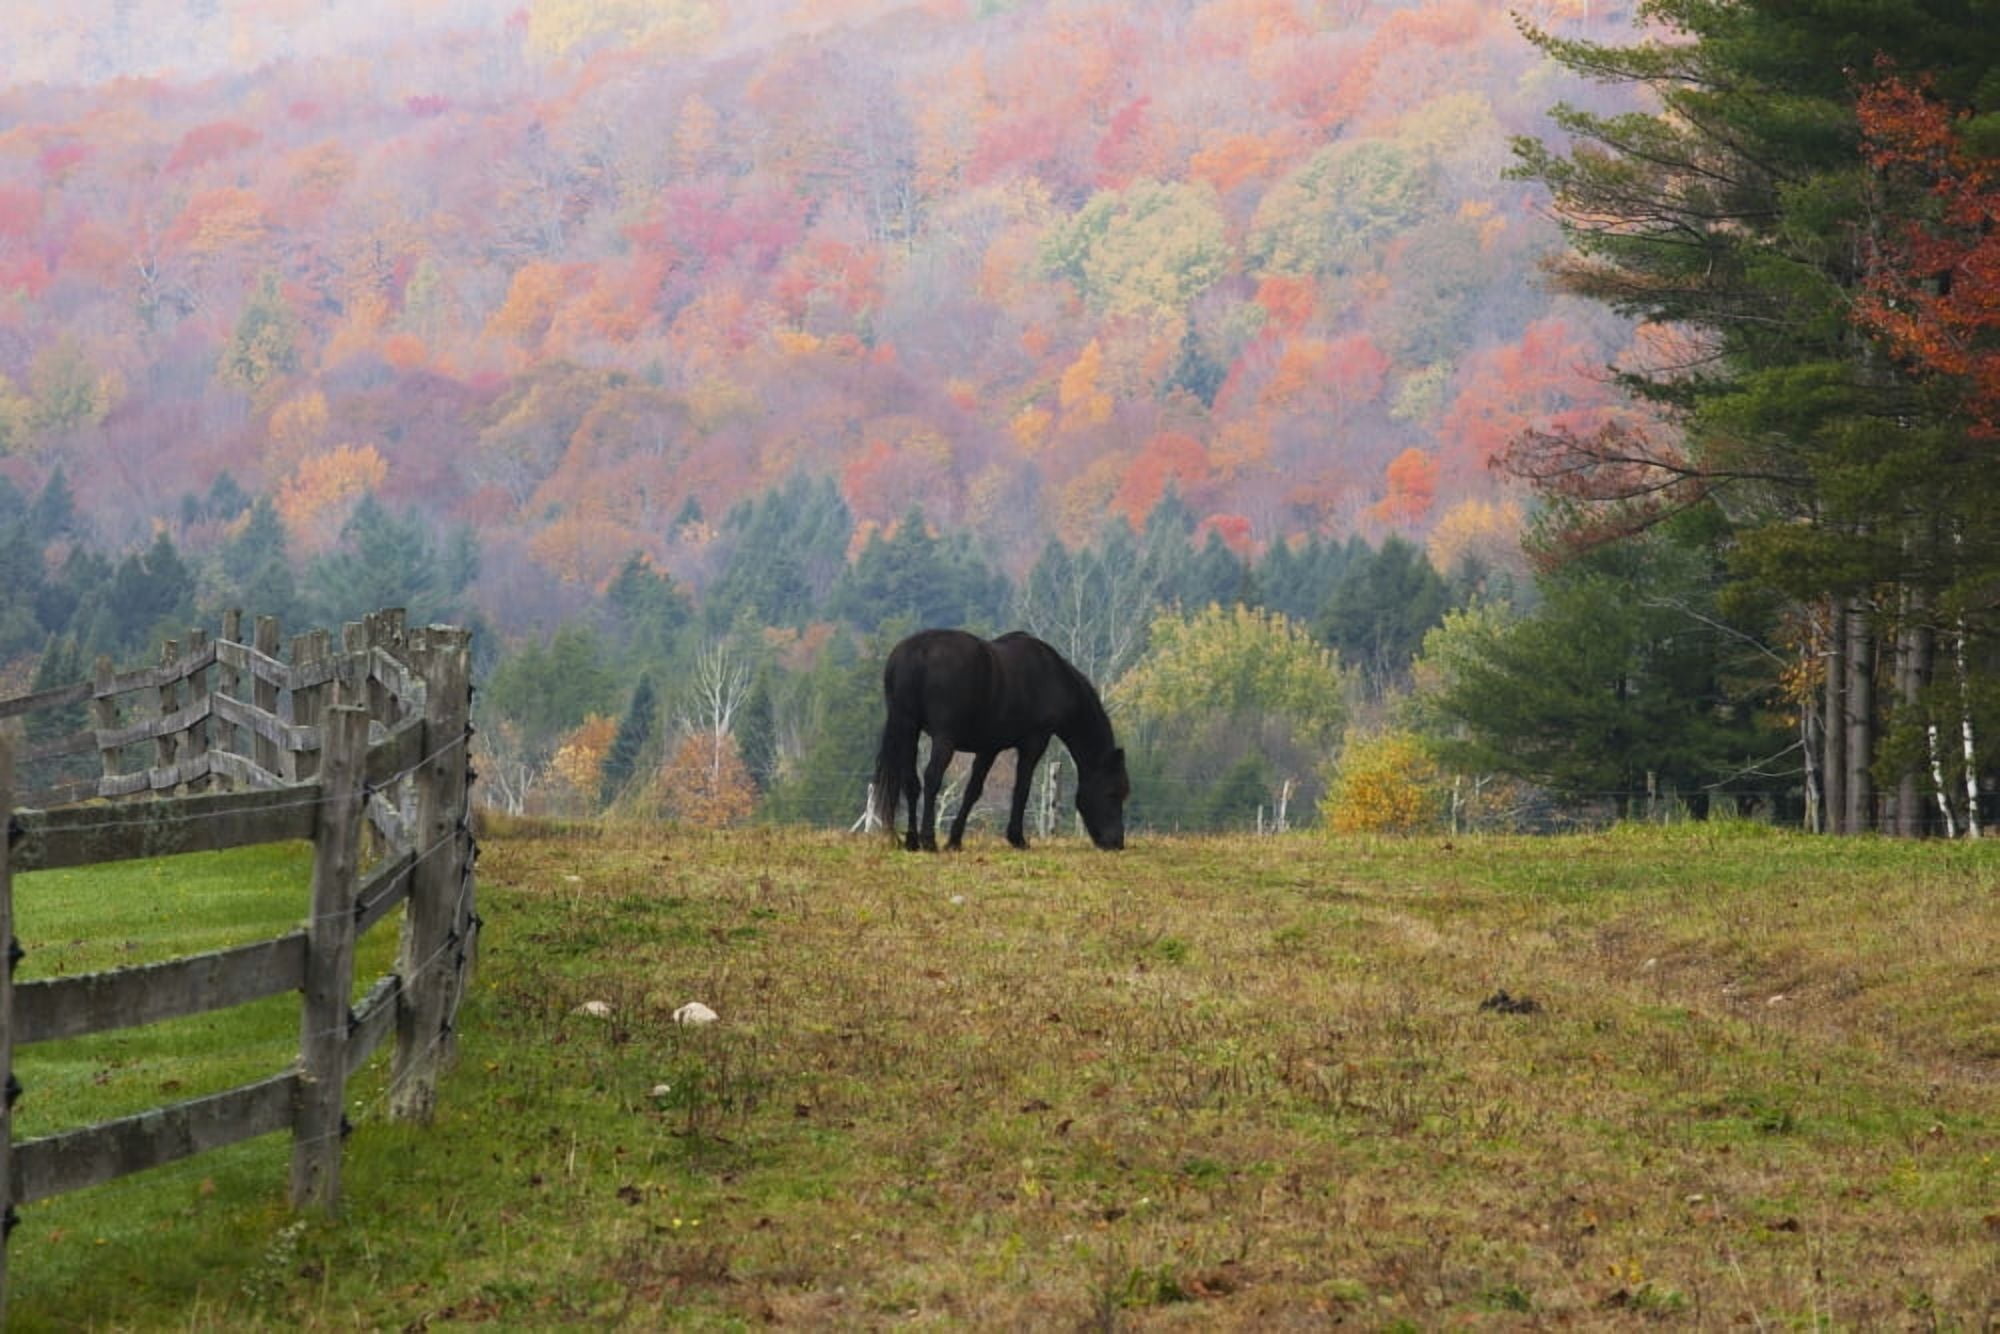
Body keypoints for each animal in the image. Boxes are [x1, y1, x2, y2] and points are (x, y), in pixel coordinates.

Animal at [870, 629, 1129, 851]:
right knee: (932, 778)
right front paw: (1017, 838)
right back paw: (928, 840)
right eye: (1112, 793)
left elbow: (973, 791)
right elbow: (1022, 787)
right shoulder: (1034, 742)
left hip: (908, 730)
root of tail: (917, 650)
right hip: (944, 739)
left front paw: (955, 840)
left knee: (911, 782)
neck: (1053, 677)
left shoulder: (989, 748)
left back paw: (912, 841)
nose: (1116, 842)